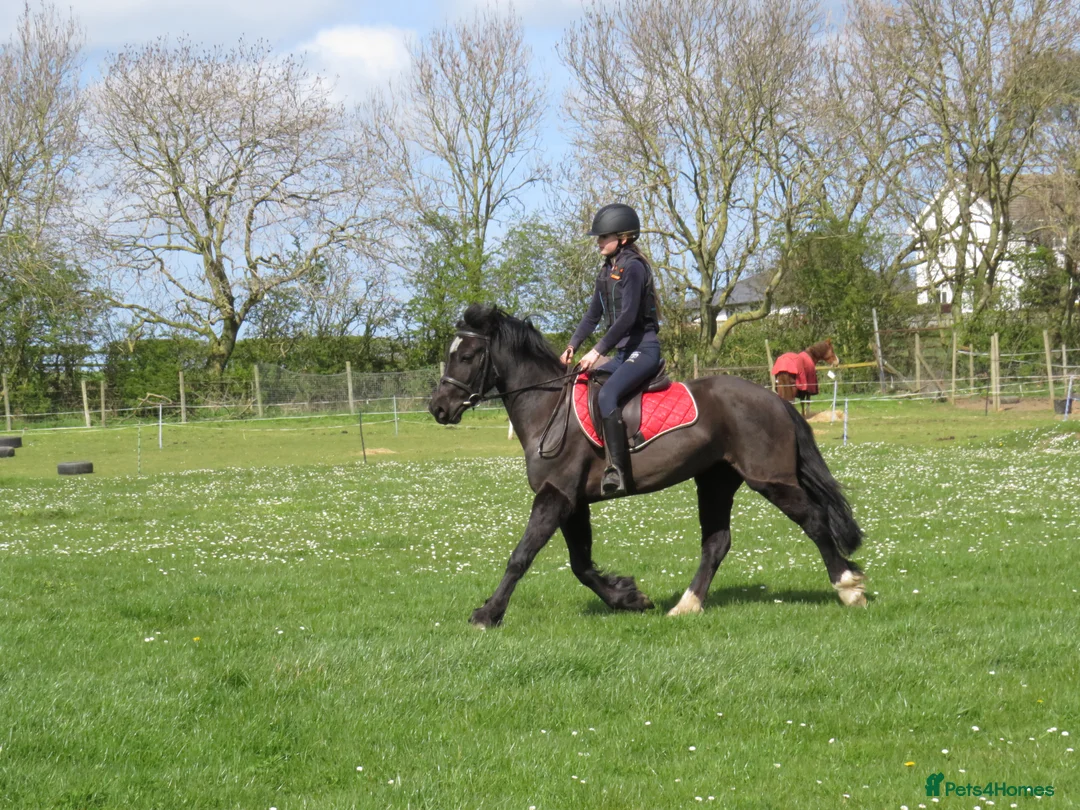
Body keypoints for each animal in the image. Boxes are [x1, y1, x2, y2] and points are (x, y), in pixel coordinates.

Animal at [428, 305, 866, 628]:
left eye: (466, 356)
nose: (438, 409)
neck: (548, 407)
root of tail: (774, 400)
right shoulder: (572, 501)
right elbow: (581, 564)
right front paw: (629, 597)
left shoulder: (555, 497)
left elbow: (522, 556)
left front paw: (487, 614)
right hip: (715, 481)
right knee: (717, 542)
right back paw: (687, 606)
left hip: (770, 480)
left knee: (814, 520)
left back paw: (848, 587)